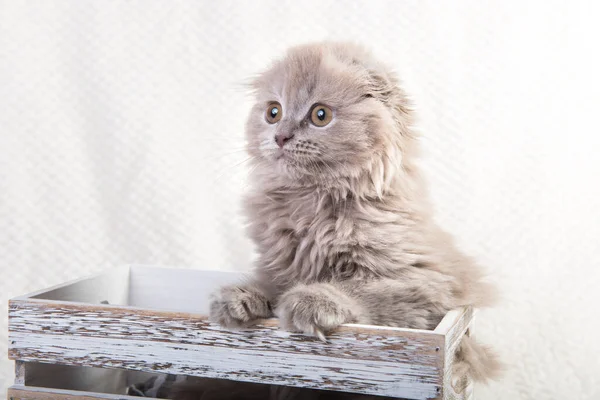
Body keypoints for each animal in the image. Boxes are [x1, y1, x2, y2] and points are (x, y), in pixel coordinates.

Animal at [209, 42, 500, 398]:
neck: (313, 206)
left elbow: (362, 289)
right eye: (273, 113)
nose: (281, 136)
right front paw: (239, 297)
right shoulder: (280, 262)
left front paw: (311, 300)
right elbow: (270, 282)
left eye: (320, 115)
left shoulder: (431, 282)